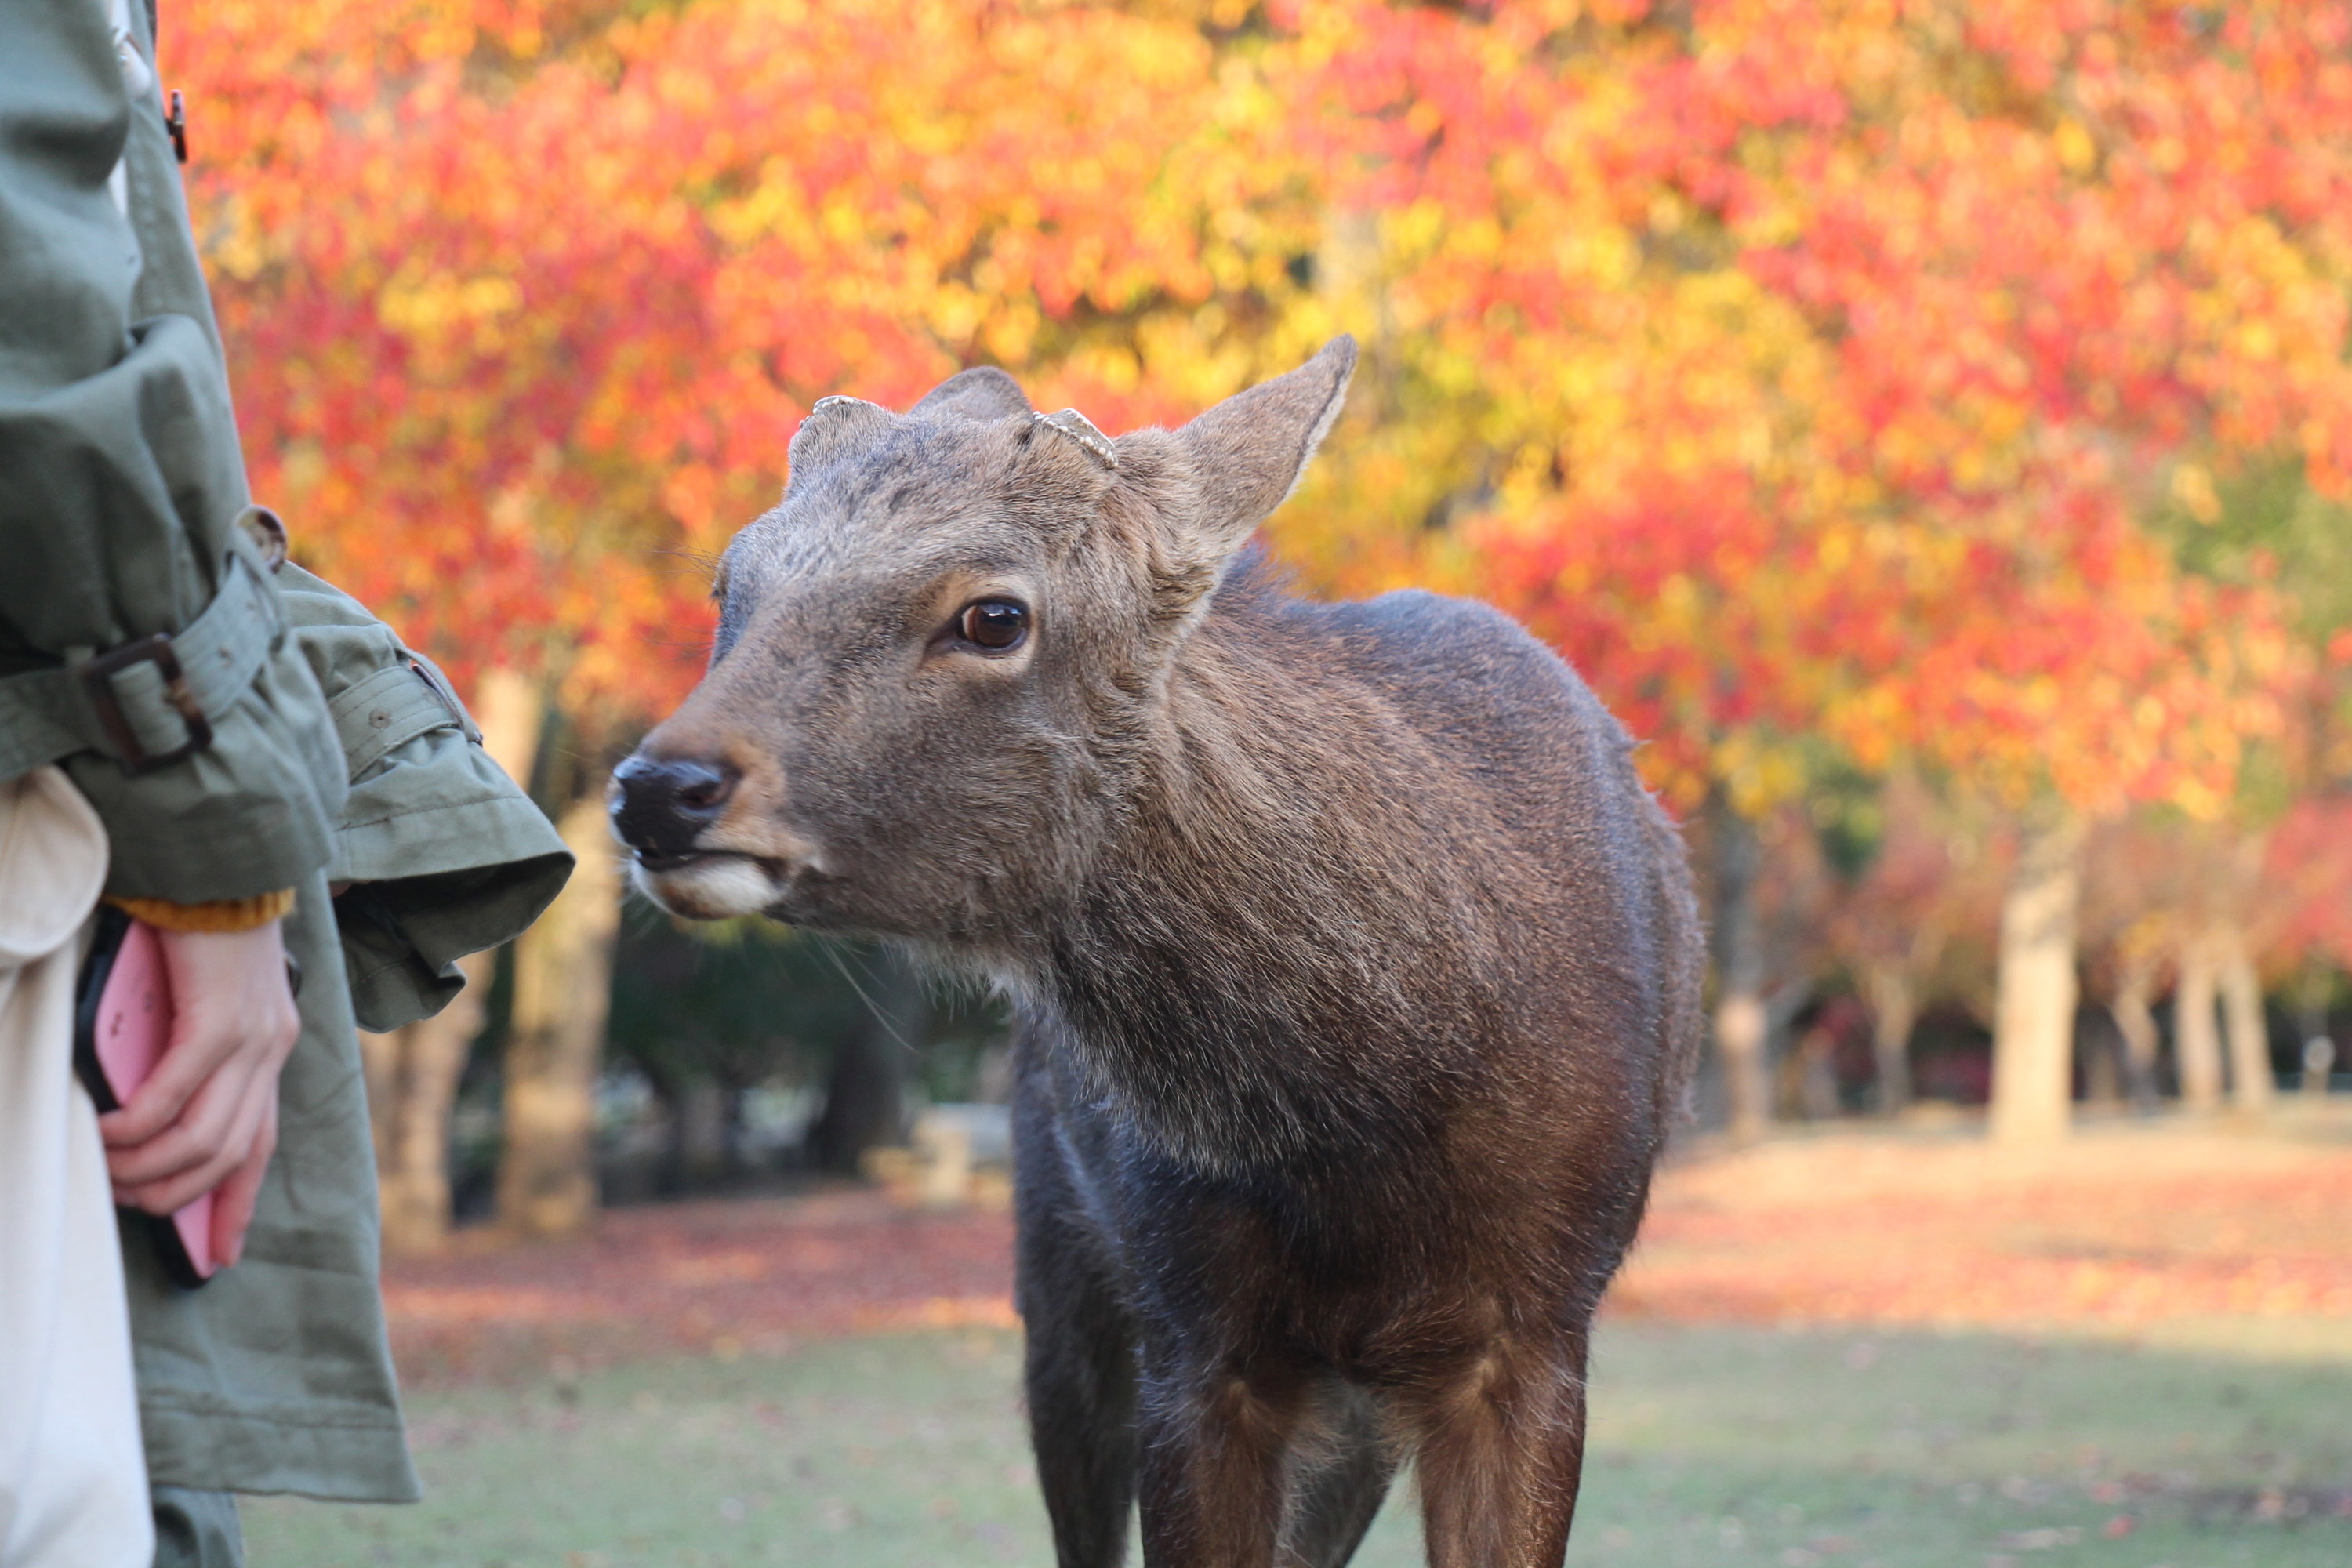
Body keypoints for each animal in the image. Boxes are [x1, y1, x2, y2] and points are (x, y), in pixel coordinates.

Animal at [616, 343, 1703, 1568]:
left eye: (995, 615)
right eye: (729, 584)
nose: (660, 789)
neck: (1371, 1124)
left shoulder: (1541, 1324)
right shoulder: (1191, 1329)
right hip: (1063, 1279)